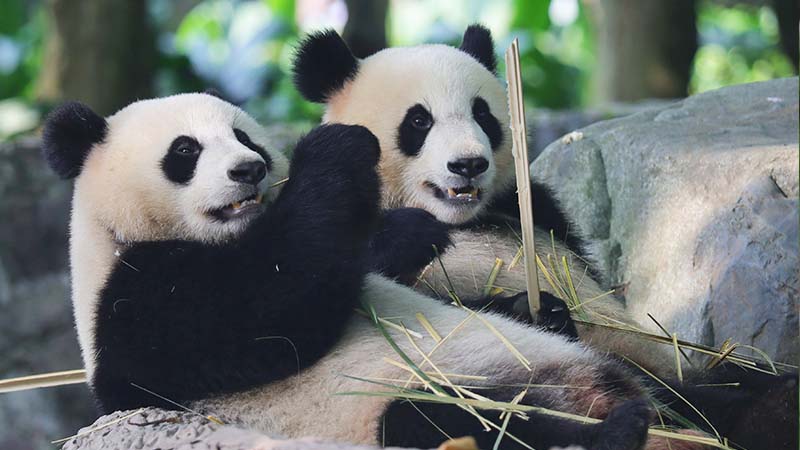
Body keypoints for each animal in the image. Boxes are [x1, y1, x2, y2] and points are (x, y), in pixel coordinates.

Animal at [42, 95, 794, 450]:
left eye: (246, 136)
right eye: (185, 151)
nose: (250, 169)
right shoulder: (137, 304)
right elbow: (273, 311)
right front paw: (340, 150)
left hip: (638, 373)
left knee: (720, 395)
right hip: (423, 408)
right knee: (442, 423)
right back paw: (614, 434)